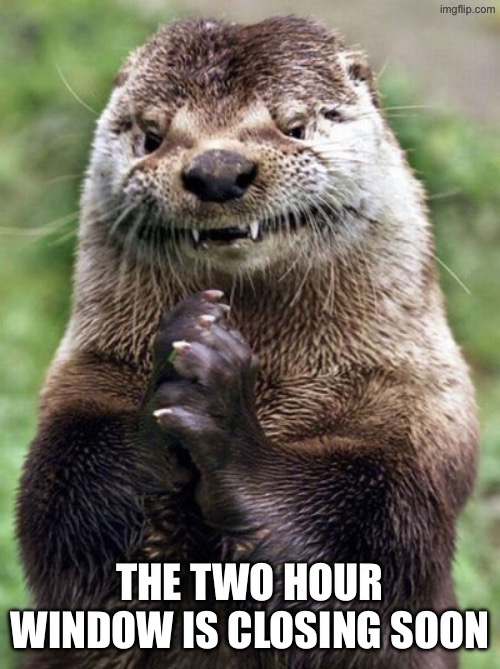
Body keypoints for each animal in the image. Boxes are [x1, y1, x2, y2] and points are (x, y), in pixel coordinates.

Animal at [17, 15, 478, 669]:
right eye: (152, 135)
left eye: (294, 125)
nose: (217, 170)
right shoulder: (81, 386)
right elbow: (65, 509)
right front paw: (178, 358)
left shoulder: (419, 419)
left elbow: (374, 539)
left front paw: (229, 426)